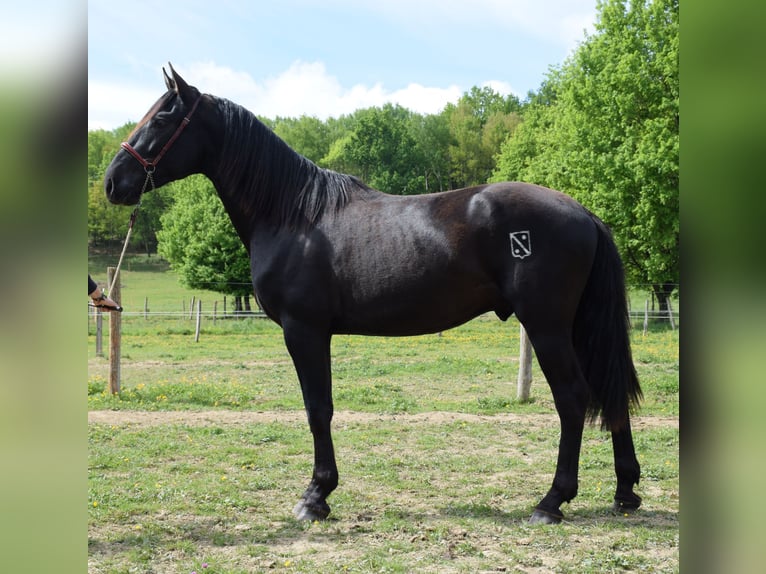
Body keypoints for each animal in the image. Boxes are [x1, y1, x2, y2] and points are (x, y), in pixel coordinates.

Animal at [105, 65, 644, 524]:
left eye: (162, 118)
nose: (113, 182)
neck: (293, 214)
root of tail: (584, 212)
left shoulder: (305, 331)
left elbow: (317, 408)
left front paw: (316, 496)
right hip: (574, 326)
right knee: (609, 393)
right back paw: (625, 491)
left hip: (547, 326)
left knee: (573, 398)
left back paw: (551, 501)